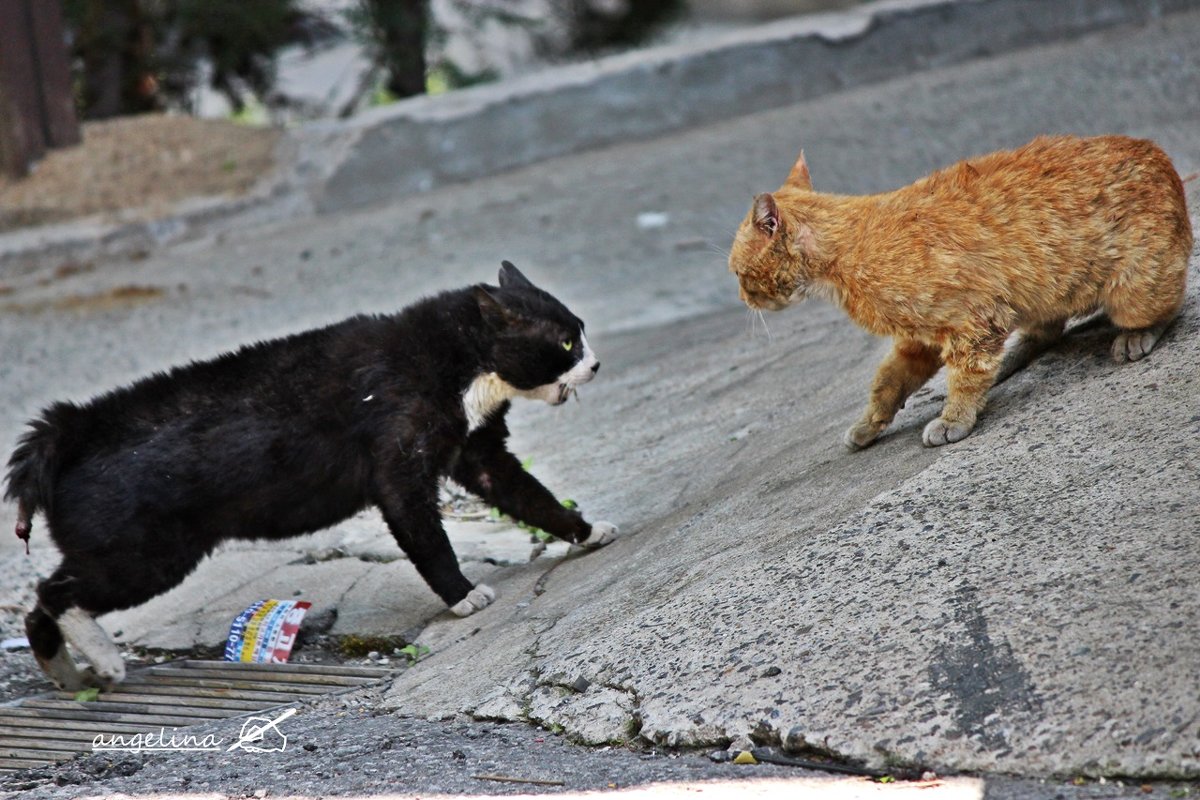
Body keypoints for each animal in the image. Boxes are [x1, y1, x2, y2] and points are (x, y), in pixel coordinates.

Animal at [4, 262, 614, 690]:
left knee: (40, 608)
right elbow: (428, 538)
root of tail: (71, 429)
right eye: (564, 342)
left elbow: (532, 498)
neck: (458, 365)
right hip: (145, 555)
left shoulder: (480, 453)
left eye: (582, 331)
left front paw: (586, 532)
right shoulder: (399, 468)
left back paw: (67, 675)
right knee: (52, 593)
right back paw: (103, 659)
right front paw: (462, 595)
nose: (595, 363)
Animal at [729, 138, 1190, 450]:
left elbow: (966, 375)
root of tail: (1161, 156)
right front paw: (870, 423)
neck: (849, 251)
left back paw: (1136, 336)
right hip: (1037, 295)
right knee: (1048, 329)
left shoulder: (974, 322)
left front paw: (954, 419)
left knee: (1171, 305)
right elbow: (887, 382)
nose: (742, 300)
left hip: (1135, 289)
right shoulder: (918, 339)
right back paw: (1014, 356)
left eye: (736, 272)